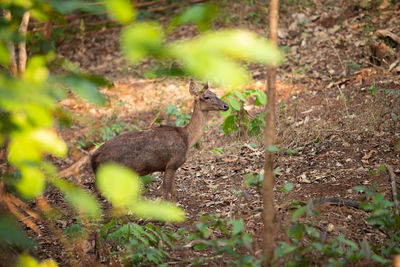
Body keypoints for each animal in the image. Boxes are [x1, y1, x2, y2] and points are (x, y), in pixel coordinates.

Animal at [90, 80, 228, 202]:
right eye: (206, 97)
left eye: (215, 94)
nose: (226, 106)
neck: (188, 138)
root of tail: (94, 158)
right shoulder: (172, 163)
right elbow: (165, 193)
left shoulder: (171, 166)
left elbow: (173, 192)